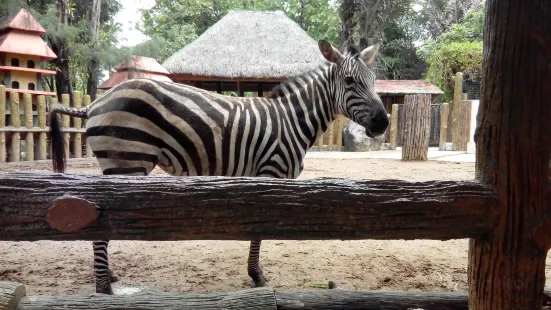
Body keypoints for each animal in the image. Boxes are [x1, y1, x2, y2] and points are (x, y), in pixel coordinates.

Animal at [49, 40, 390, 294]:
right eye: (349, 81)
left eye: (373, 82)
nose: (383, 123)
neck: (291, 121)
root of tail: (96, 103)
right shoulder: (271, 174)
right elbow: (260, 230)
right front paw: (257, 276)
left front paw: (255, 272)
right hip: (127, 162)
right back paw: (104, 288)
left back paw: (109, 277)